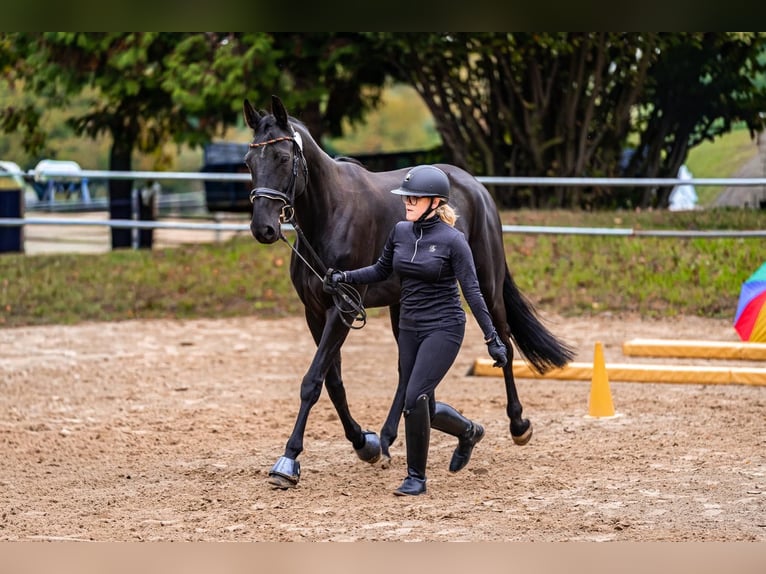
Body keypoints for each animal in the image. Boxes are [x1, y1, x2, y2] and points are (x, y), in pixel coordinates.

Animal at [243, 95, 575, 489]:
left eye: (282, 157)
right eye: (249, 162)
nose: (262, 228)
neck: (330, 213)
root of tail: (474, 185)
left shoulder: (343, 309)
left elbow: (312, 381)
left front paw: (288, 460)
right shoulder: (315, 312)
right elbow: (332, 381)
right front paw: (363, 442)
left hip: (487, 284)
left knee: (503, 345)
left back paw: (518, 424)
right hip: (403, 303)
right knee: (408, 371)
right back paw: (389, 438)